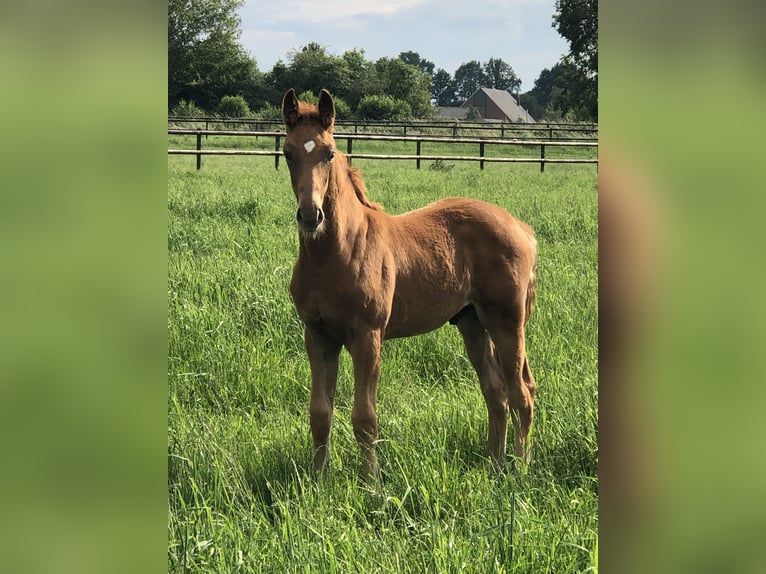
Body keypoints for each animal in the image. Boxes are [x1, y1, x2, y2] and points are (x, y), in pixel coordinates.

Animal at [282, 88, 540, 480]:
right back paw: (494, 465)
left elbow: (365, 418)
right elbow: (320, 413)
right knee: (495, 393)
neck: (336, 253)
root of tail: (521, 228)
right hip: (471, 322)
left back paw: (518, 472)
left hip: (507, 322)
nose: (311, 216)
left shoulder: (368, 336)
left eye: (329, 153)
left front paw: (371, 484)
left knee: (521, 393)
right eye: (287, 153)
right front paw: (319, 479)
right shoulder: (318, 336)